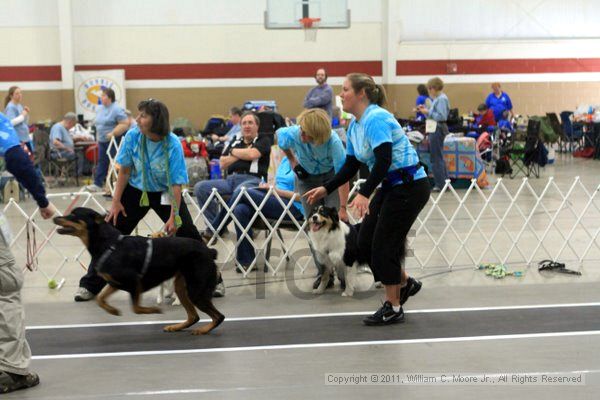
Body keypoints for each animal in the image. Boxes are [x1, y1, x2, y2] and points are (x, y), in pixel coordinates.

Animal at [54, 206, 225, 334]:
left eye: (73, 214)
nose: (55, 218)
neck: (109, 245)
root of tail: (209, 251)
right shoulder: (116, 283)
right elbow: (100, 299)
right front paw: (113, 311)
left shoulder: (134, 282)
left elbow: (136, 308)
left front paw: (154, 310)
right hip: (182, 287)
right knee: (194, 316)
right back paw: (177, 327)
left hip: (195, 290)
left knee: (219, 317)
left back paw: (203, 330)